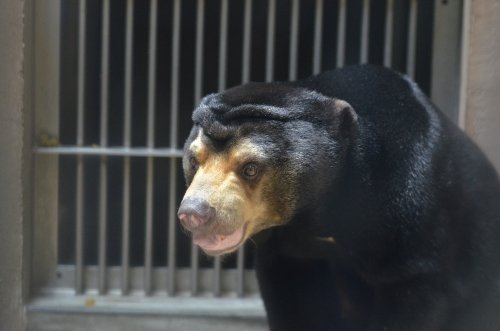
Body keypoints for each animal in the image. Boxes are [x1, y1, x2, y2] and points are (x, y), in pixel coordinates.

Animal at [176, 65, 500, 331]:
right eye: (194, 160)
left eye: (251, 168)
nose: (195, 213)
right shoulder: (286, 250)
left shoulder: (414, 220)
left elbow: (412, 290)